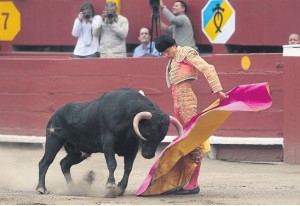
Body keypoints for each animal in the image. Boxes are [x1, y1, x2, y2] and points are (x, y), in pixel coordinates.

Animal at [35, 87, 183, 197]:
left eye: (162, 135)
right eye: (147, 131)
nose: (149, 155)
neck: (128, 114)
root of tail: (55, 113)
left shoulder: (133, 148)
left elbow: (128, 167)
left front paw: (120, 188)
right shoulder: (108, 141)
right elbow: (112, 163)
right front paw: (110, 184)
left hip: (80, 151)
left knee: (64, 164)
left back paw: (73, 188)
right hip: (54, 139)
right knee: (45, 162)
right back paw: (41, 188)